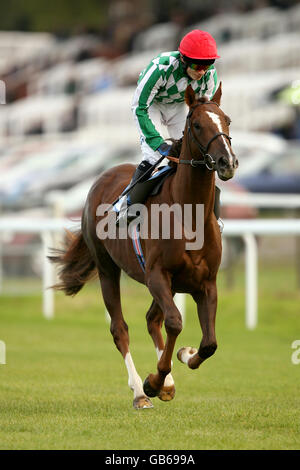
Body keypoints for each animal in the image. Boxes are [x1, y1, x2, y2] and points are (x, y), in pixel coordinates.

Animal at [51, 83, 239, 408]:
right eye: (197, 125)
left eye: (226, 120)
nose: (227, 162)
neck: (187, 212)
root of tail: (103, 177)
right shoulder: (156, 275)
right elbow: (175, 322)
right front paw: (154, 381)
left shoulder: (205, 282)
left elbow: (209, 343)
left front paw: (184, 356)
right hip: (108, 270)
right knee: (120, 328)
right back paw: (140, 391)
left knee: (152, 319)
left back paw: (167, 383)